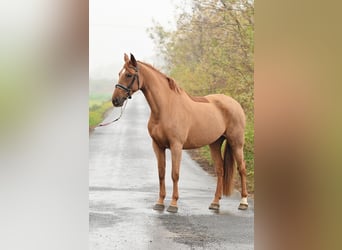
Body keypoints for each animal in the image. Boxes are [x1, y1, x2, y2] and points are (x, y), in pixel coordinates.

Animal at [112, 53, 248, 213]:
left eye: (128, 75)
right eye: (119, 74)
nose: (115, 100)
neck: (166, 108)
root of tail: (235, 103)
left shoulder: (176, 146)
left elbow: (174, 174)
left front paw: (173, 205)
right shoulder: (157, 146)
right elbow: (161, 173)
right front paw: (159, 203)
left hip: (236, 142)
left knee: (242, 168)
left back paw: (243, 202)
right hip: (215, 143)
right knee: (220, 170)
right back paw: (215, 203)